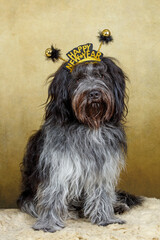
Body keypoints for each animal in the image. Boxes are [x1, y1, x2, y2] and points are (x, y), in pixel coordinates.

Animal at [17, 56, 142, 232]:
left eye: (101, 75)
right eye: (78, 79)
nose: (94, 93)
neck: (89, 127)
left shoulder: (102, 168)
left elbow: (102, 194)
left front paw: (106, 219)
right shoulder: (58, 166)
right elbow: (52, 195)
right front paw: (48, 224)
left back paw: (116, 205)